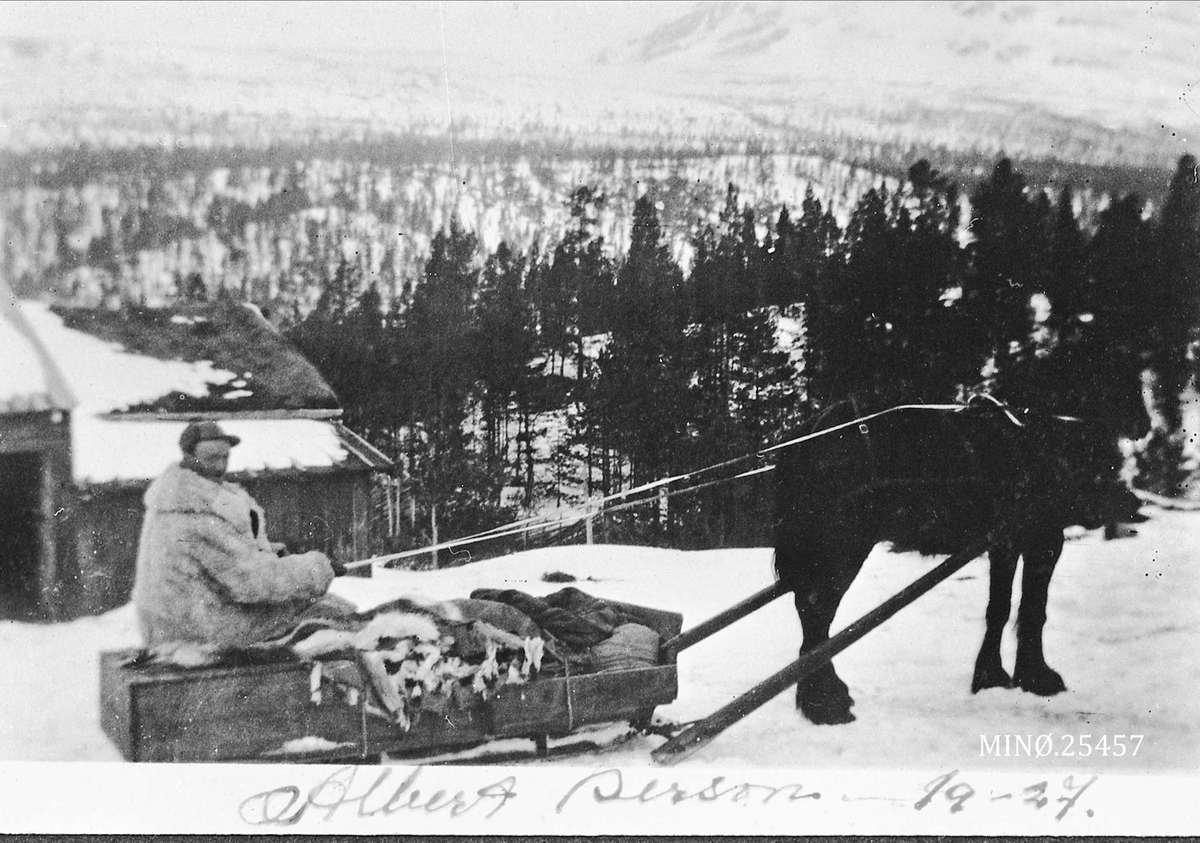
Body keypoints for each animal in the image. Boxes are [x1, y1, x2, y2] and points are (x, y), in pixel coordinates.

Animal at [772, 401, 1147, 725]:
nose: (1133, 505)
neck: (1042, 445)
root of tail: (808, 436)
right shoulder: (1042, 538)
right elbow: (1032, 609)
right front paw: (1036, 676)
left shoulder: (1005, 543)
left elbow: (1000, 608)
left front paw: (992, 675)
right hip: (844, 546)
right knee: (817, 618)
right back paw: (826, 704)